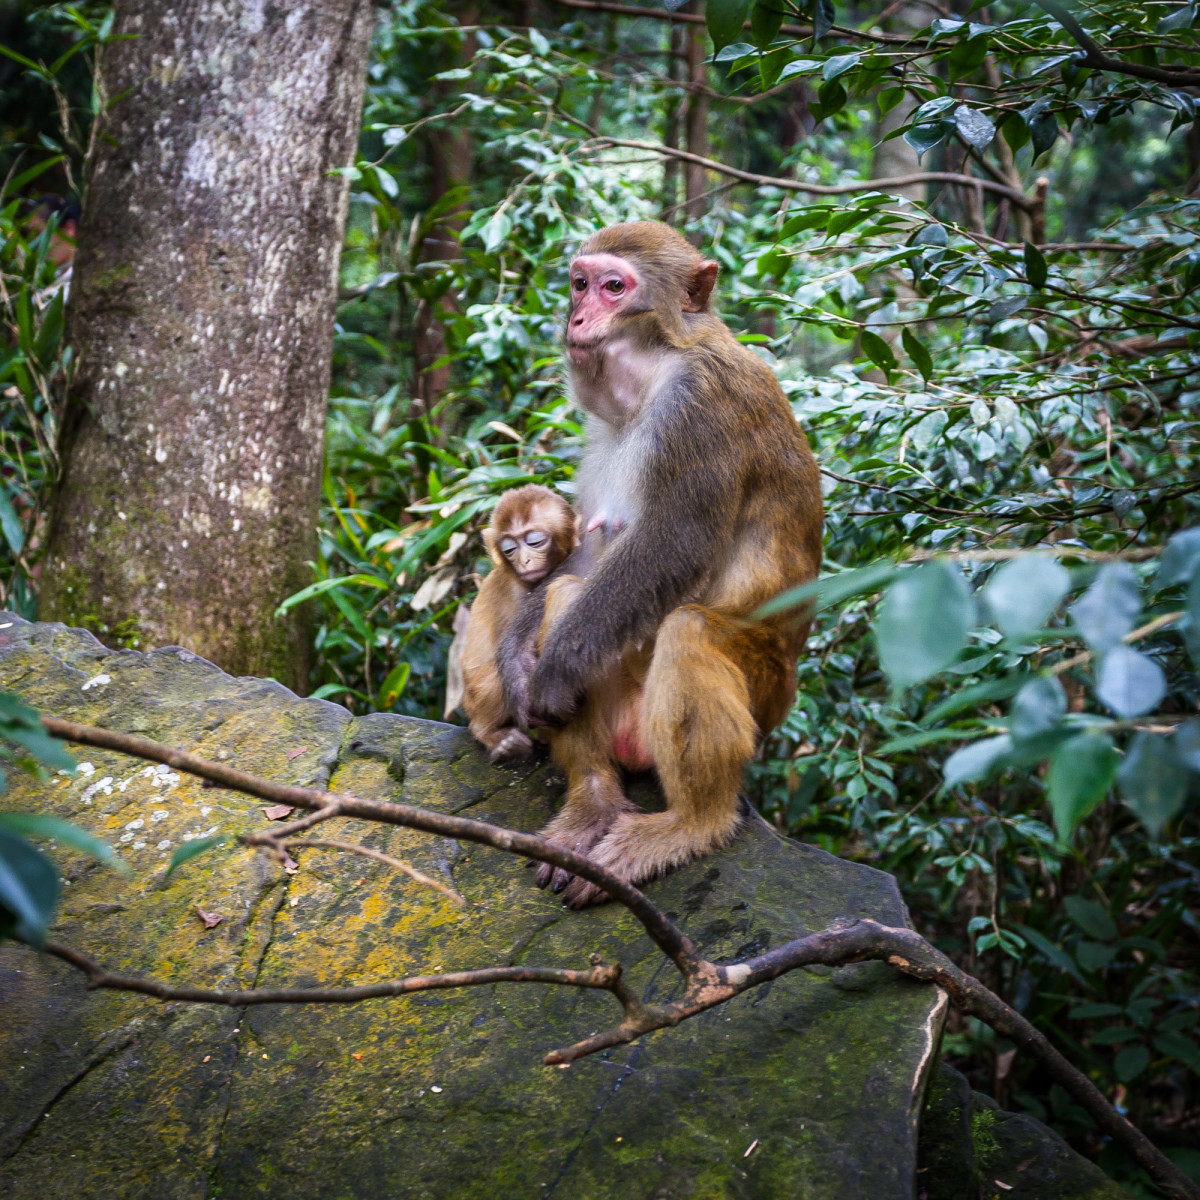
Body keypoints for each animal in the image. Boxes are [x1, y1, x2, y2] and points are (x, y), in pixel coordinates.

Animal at [458, 484, 576, 758]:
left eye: (535, 542)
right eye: (509, 549)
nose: (525, 560)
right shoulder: (516, 591)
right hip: (474, 696)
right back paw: (490, 734)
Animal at [499, 220, 825, 902]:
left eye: (614, 287)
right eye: (579, 282)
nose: (576, 316)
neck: (652, 373)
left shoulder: (699, 407)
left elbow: (673, 542)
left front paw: (551, 670)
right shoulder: (600, 436)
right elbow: (581, 559)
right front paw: (517, 668)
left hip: (764, 698)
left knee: (689, 628)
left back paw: (689, 823)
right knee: (571, 600)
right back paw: (592, 803)